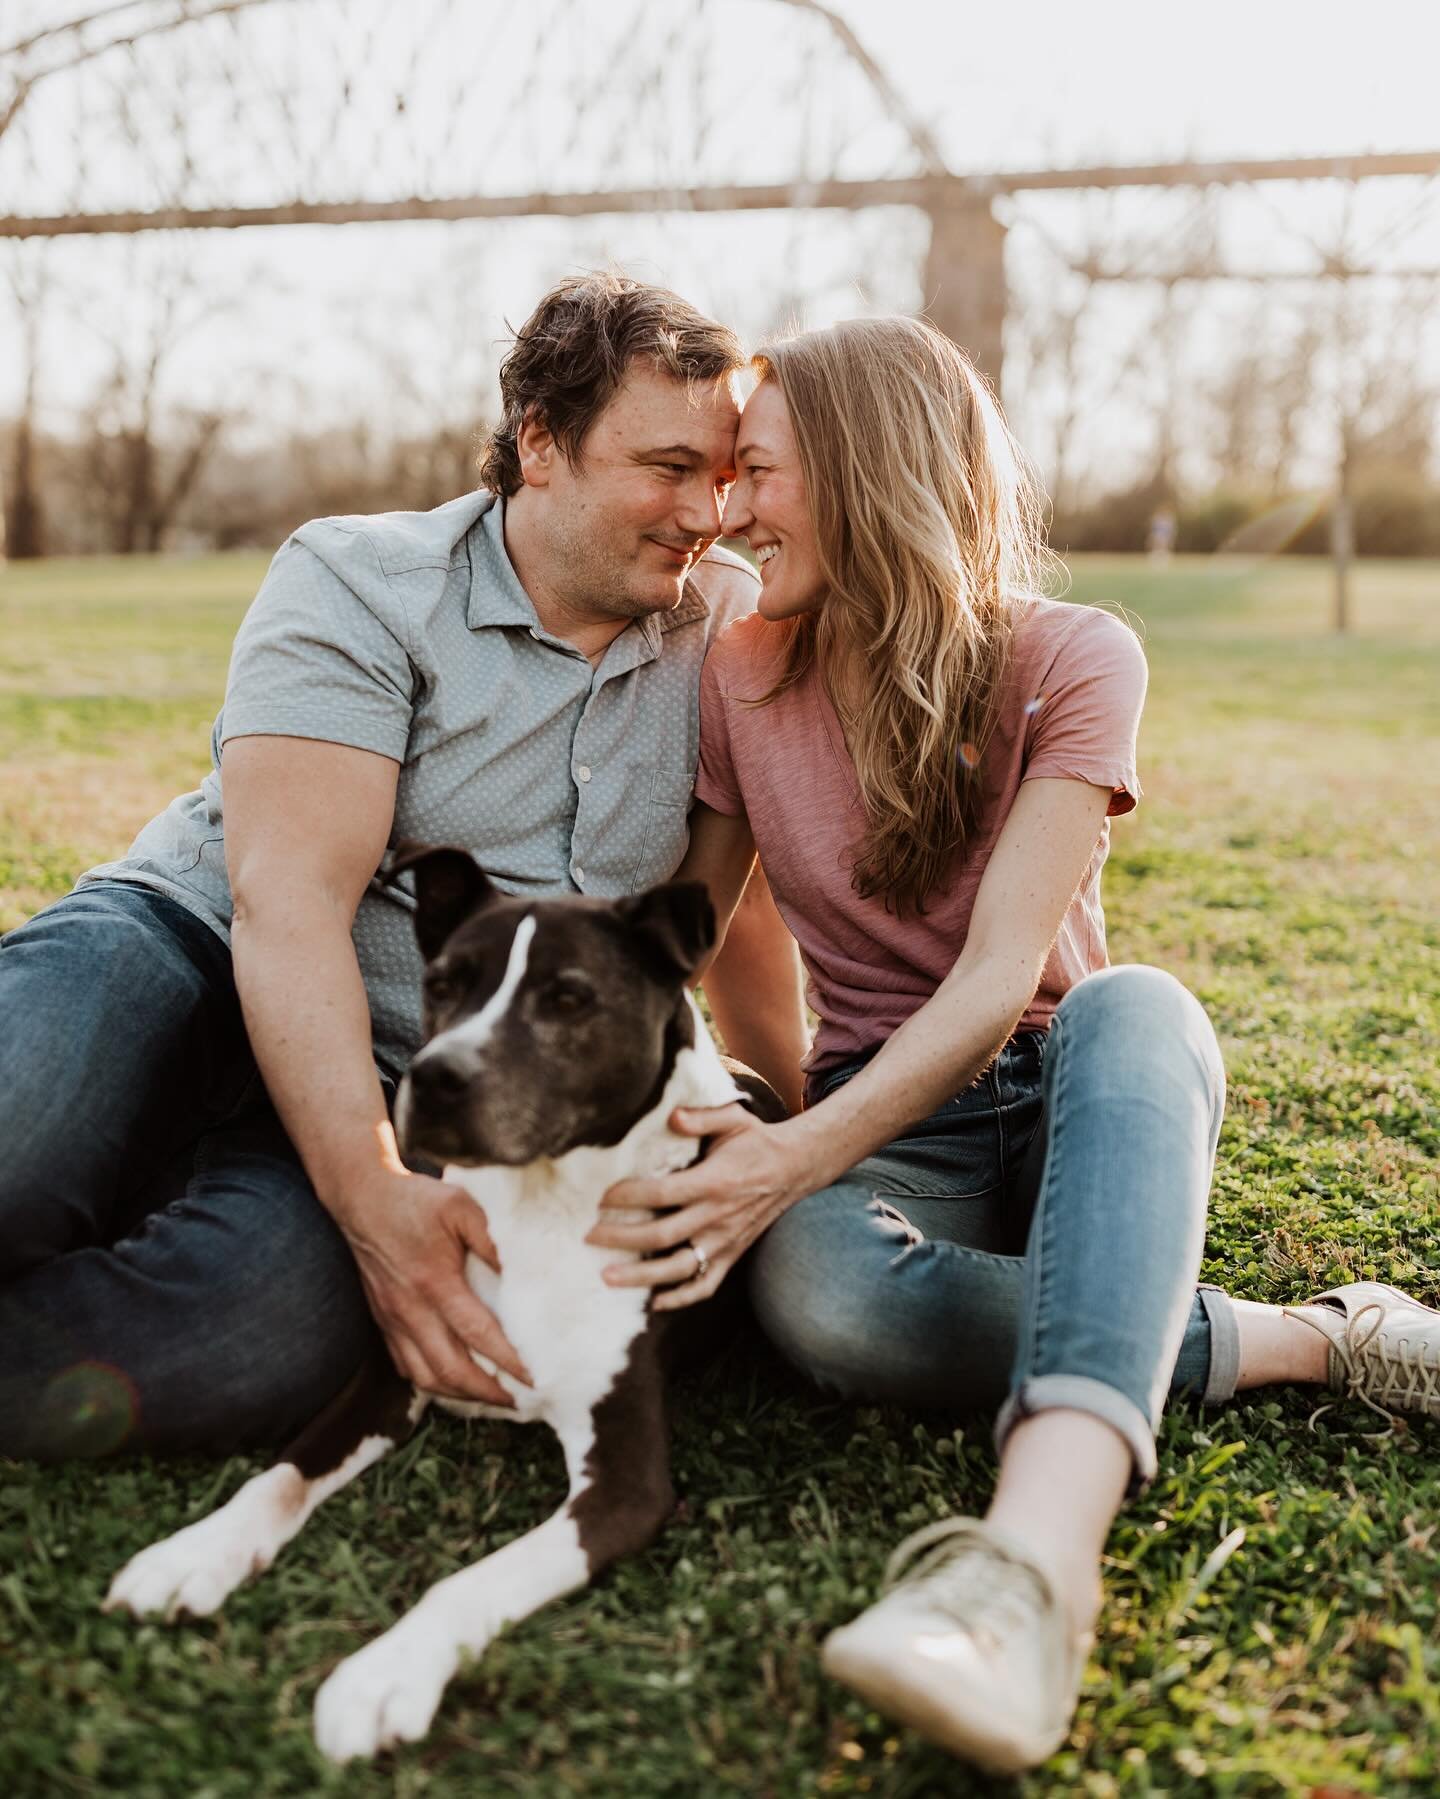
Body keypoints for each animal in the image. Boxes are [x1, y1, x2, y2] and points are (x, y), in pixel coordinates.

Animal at [107, 841, 788, 1755]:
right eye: (443, 983)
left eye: (568, 997)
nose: (433, 1078)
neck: (542, 1207)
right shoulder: (396, 1366)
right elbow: (280, 1474)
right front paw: (193, 1553)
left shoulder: (627, 1481)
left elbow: (473, 1580)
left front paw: (381, 1676)